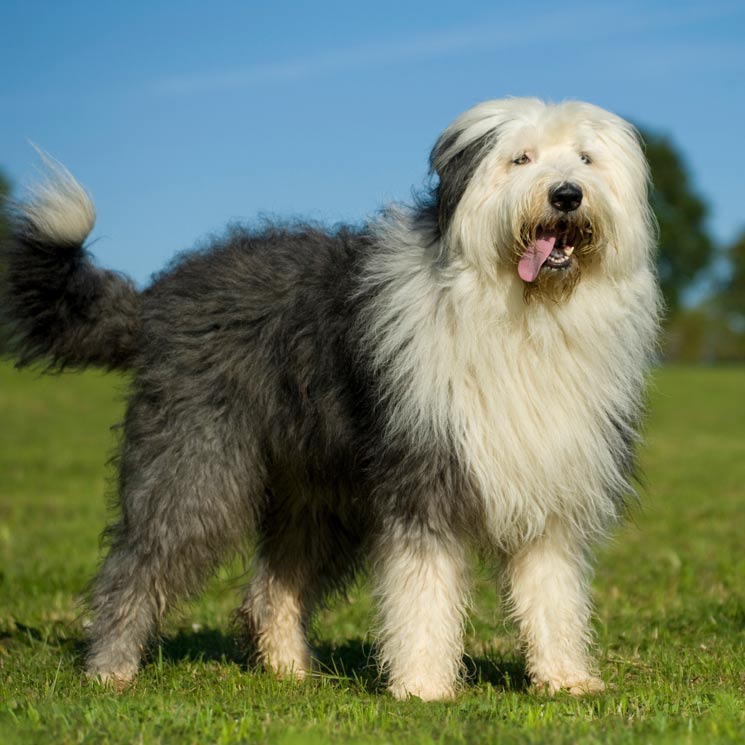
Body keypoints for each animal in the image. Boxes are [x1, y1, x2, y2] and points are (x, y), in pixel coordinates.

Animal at [2, 97, 660, 696]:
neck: (522, 313)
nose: (567, 195)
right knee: (139, 562)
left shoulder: (548, 482)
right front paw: (424, 687)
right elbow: (423, 589)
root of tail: (155, 297)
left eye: (585, 158)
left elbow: (552, 592)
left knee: (274, 584)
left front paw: (566, 680)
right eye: (520, 158)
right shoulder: (423, 474)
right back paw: (110, 669)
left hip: (315, 489)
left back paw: (290, 670)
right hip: (196, 460)